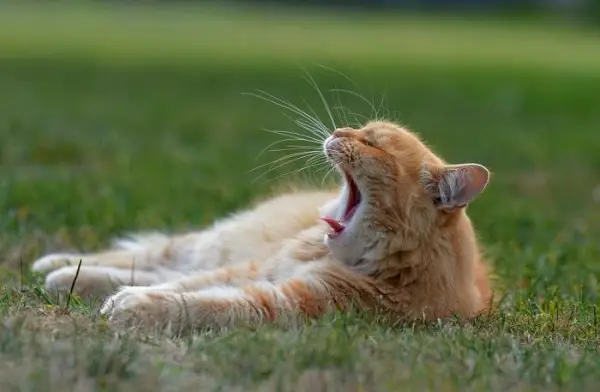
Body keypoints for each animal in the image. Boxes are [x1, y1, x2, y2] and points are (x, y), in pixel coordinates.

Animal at [30, 120, 494, 334]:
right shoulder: (256, 270)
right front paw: (121, 297)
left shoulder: (281, 301)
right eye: (362, 131)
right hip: (219, 246)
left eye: (372, 142)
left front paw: (134, 305)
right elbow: (182, 285)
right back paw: (56, 268)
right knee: (162, 256)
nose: (337, 130)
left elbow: (197, 301)